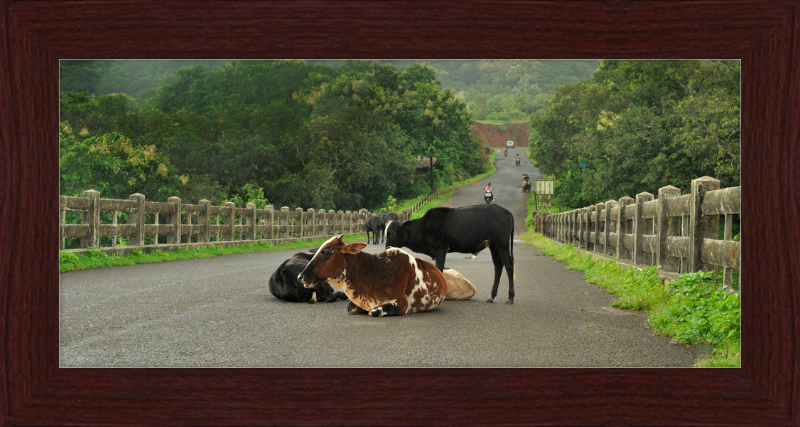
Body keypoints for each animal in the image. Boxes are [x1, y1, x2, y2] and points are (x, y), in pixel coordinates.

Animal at [384, 204, 516, 304]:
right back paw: (491, 296)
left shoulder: (440, 250)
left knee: (509, 266)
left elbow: (439, 270)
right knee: (498, 267)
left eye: (391, 232)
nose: (387, 248)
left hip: (502, 245)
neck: (423, 226)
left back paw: (510, 297)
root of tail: (505, 211)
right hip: (493, 246)